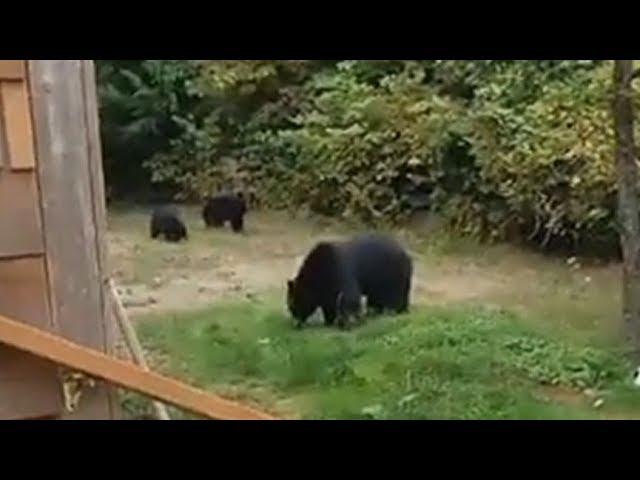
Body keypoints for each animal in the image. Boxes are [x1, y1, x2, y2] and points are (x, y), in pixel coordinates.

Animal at [286, 233, 416, 330]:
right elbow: (329, 303)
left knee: (394, 296)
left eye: (293, 306)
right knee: (378, 298)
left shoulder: (340, 269)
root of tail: (407, 255)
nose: (296, 324)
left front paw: (345, 321)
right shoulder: (326, 287)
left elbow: (349, 296)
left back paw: (393, 312)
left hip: (392, 275)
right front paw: (329, 321)